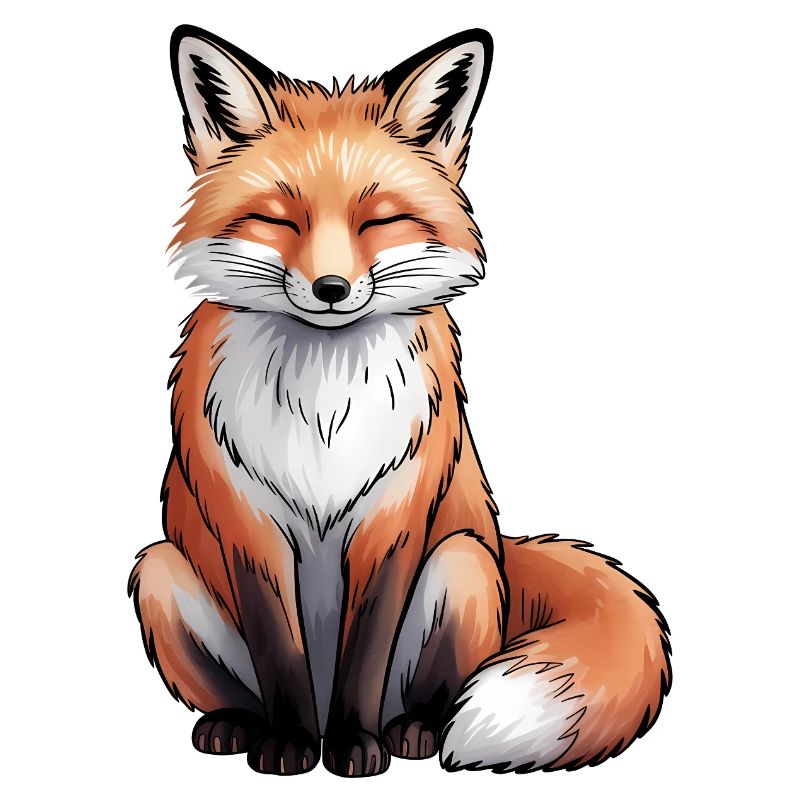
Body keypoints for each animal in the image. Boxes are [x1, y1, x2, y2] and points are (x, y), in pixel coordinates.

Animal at [128, 25, 671, 778]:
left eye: (379, 221)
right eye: (277, 219)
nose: (330, 288)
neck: (324, 410)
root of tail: (504, 547)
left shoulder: (393, 518)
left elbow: (366, 651)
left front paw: (353, 747)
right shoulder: (249, 525)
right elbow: (279, 649)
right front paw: (291, 746)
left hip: (463, 563)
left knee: (431, 696)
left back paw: (409, 733)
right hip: (158, 569)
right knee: (237, 687)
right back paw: (238, 725)